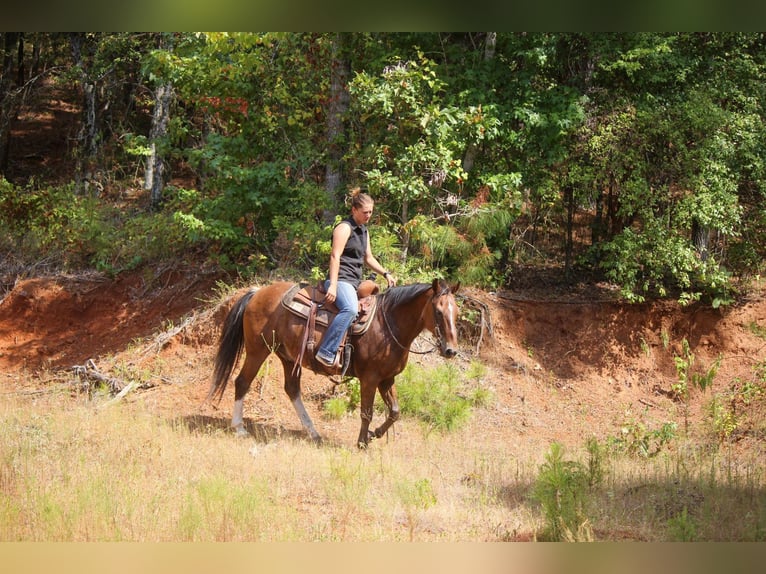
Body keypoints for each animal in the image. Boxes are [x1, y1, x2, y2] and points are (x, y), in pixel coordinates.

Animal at [208, 280, 462, 450]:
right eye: (438, 311)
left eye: (457, 312)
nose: (451, 350)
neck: (388, 324)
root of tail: (256, 292)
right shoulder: (370, 378)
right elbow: (367, 412)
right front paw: (362, 443)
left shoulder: (387, 379)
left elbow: (395, 412)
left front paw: (374, 435)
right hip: (257, 350)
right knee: (242, 382)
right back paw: (239, 428)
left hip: (289, 357)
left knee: (292, 389)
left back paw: (313, 433)